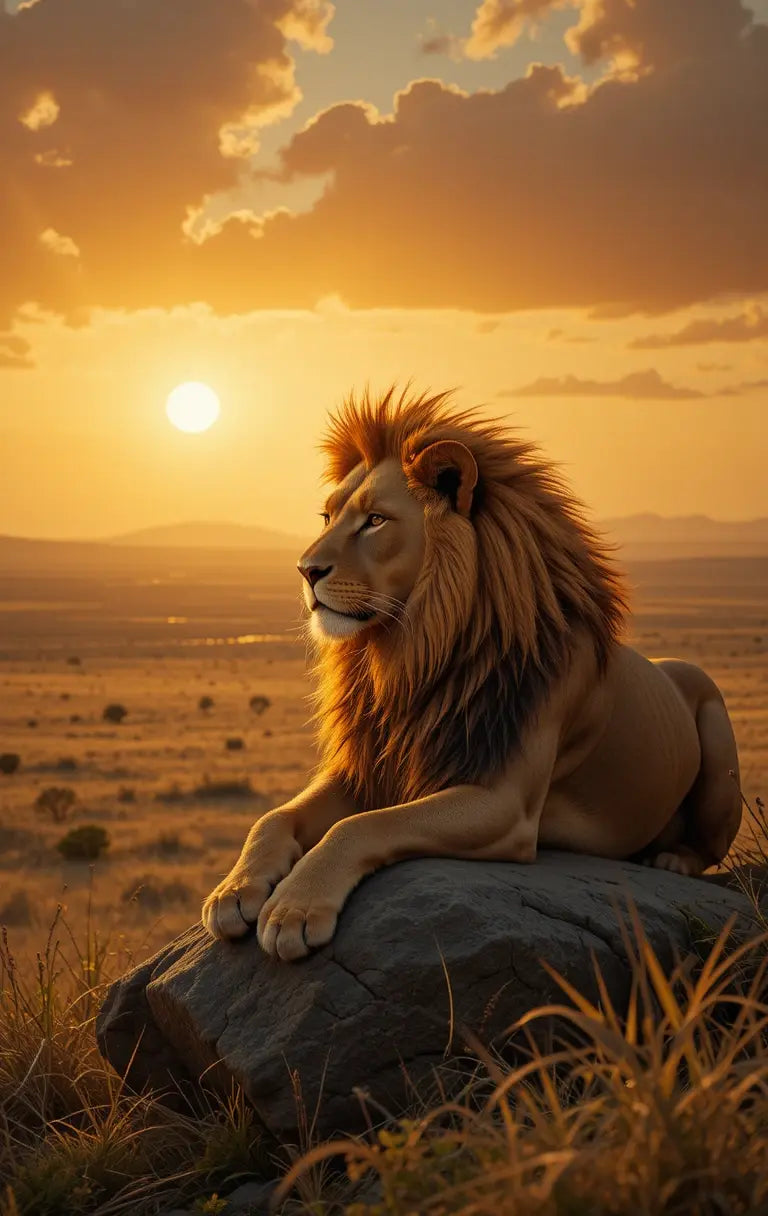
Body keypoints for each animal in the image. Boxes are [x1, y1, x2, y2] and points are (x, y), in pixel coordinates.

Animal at [202, 387, 742, 960]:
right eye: (326, 517)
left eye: (375, 521)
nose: (306, 571)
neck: (412, 653)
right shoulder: (371, 767)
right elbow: (273, 817)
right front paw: (233, 889)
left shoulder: (504, 803)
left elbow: (360, 826)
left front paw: (294, 908)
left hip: (717, 744)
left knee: (709, 847)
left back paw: (669, 859)